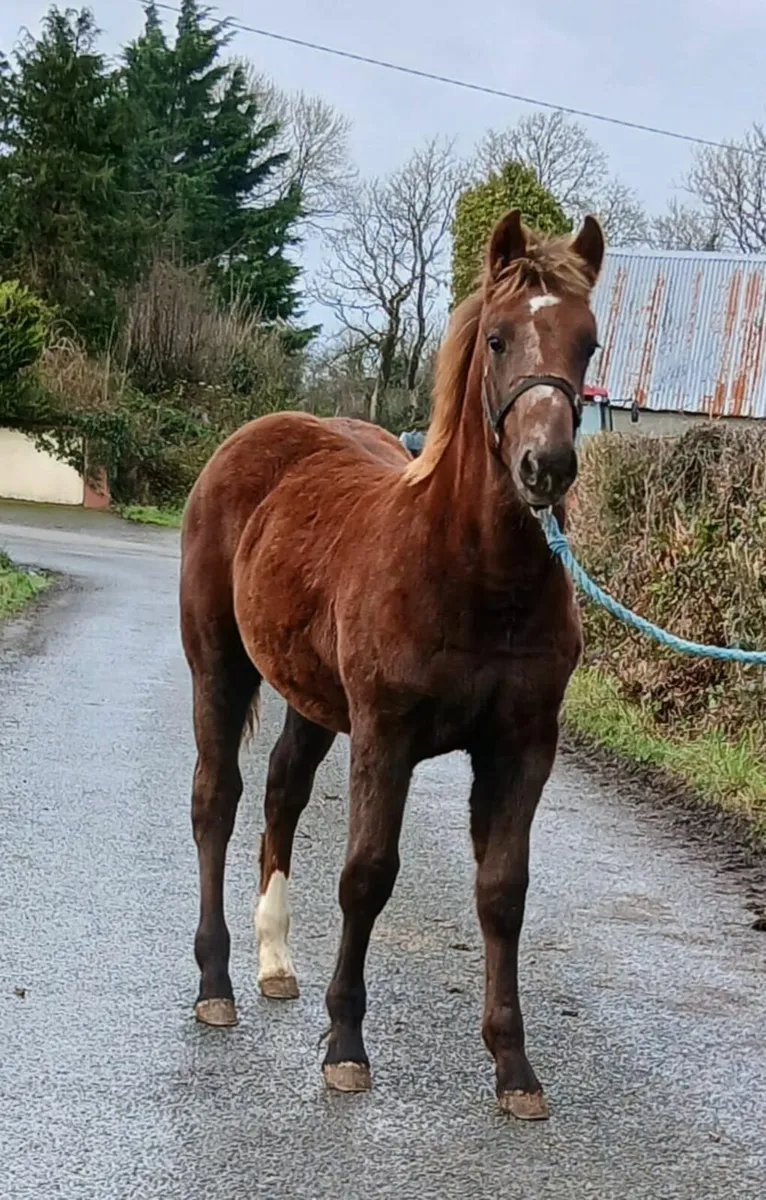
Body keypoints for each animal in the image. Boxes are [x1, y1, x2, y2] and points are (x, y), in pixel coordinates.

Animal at [179, 209, 604, 1120]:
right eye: (498, 338)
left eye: (587, 342)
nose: (546, 468)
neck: (478, 578)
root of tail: (255, 436)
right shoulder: (387, 734)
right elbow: (368, 875)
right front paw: (346, 1044)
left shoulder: (522, 748)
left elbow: (502, 892)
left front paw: (515, 1067)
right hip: (219, 666)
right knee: (217, 800)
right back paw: (216, 980)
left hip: (311, 697)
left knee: (282, 791)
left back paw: (274, 962)